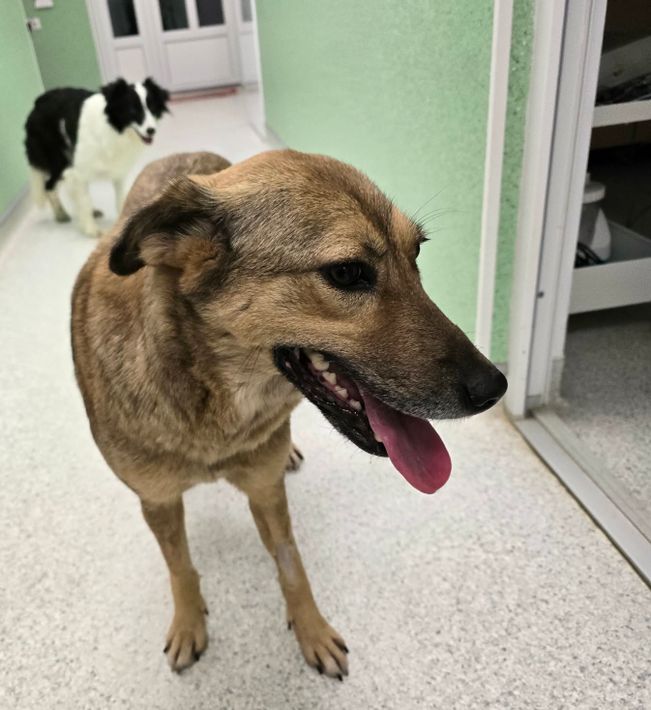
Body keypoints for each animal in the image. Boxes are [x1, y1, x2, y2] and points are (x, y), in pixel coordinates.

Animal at [25, 77, 169, 237]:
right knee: (49, 185)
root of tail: (38, 102)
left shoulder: (118, 172)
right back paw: (61, 214)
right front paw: (91, 230)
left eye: (153, 109)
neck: (113, 128)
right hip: (58, 160)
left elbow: (121, 198)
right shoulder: (79, 171)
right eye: (132, 111)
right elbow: (85, 200)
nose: (151, 130)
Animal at [71, 150, 507, 678]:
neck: (212, 401)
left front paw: (312, 630)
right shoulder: (158, 501)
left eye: (417, 254)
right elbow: (181, 567)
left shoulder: (265, 487)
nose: (495, 387)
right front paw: (189, 622)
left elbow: (291, 564)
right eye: (346, 273)